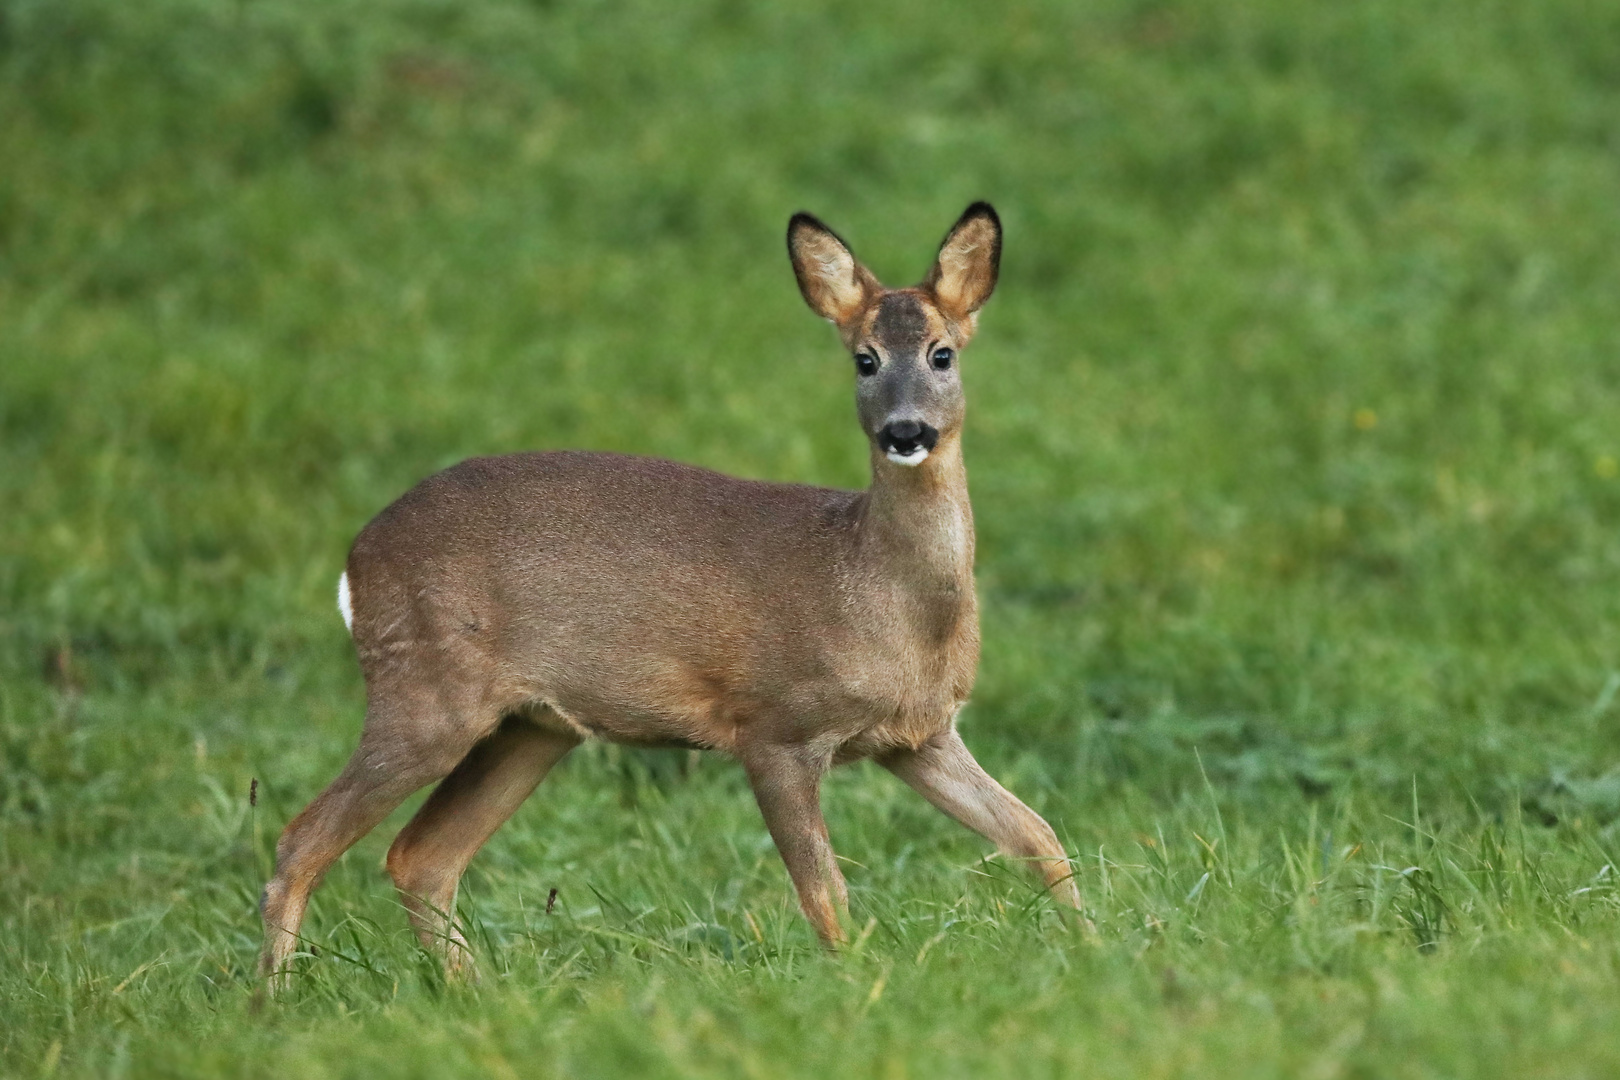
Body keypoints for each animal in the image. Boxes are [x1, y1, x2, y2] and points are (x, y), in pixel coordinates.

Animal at [259, 202, 1082, 990]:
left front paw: (1091, 947)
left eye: (943, 353)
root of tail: (356, 560)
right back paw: (274, 1002)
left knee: (420, 855)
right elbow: (825, 894)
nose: (905, 432)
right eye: (864, 359)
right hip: (425, 691)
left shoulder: (919, 735)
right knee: (302, 839)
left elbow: (1038, 835)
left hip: (531, 727)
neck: (877, 591)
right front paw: (854, 984)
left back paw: (470, 994)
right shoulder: (774, 725)